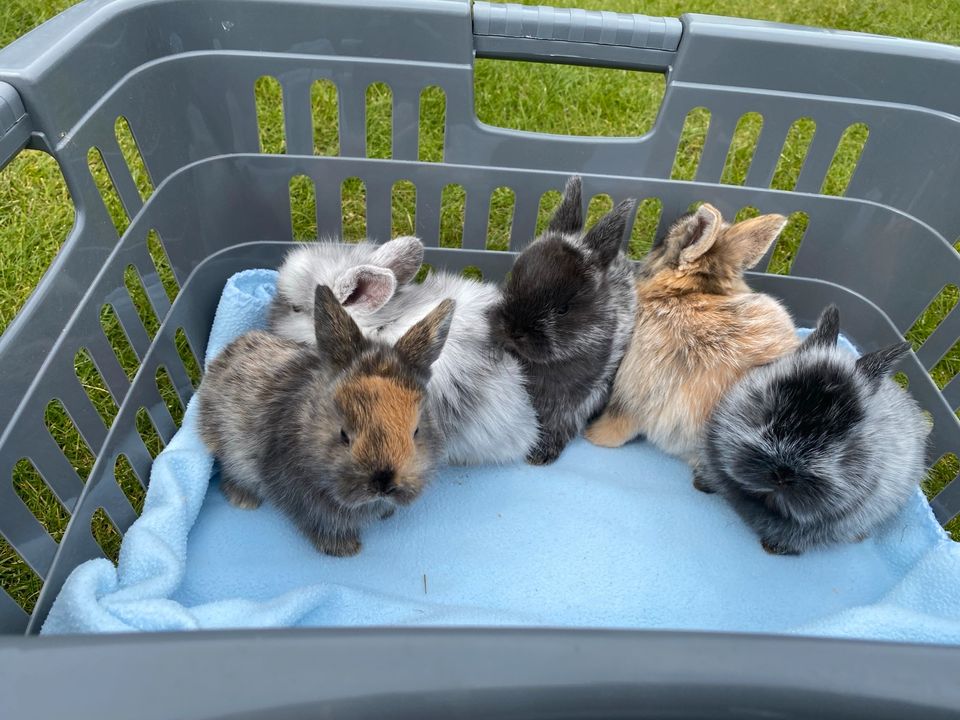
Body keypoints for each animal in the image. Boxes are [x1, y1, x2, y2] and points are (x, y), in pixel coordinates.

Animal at [492, 177, 640, 464]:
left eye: (563, 309)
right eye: (512, 279)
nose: (513, 330)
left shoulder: (579, 399)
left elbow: (560, 422)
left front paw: (541, 454)